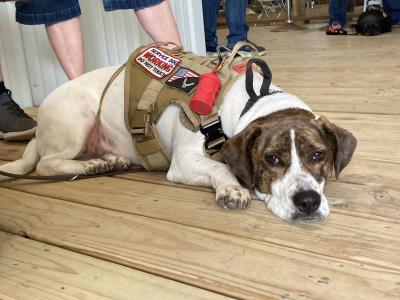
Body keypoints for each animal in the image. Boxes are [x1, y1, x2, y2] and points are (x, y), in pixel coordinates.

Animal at [0, 64, 356, 221]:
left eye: (318, 154)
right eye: (272, 159)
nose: (308, 201)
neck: (252, 101)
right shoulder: (184, 161)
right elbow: (221, 168)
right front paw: (231, 189)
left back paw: (109, 160)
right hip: (76, 116)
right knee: (47, 163)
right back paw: (90, 165)